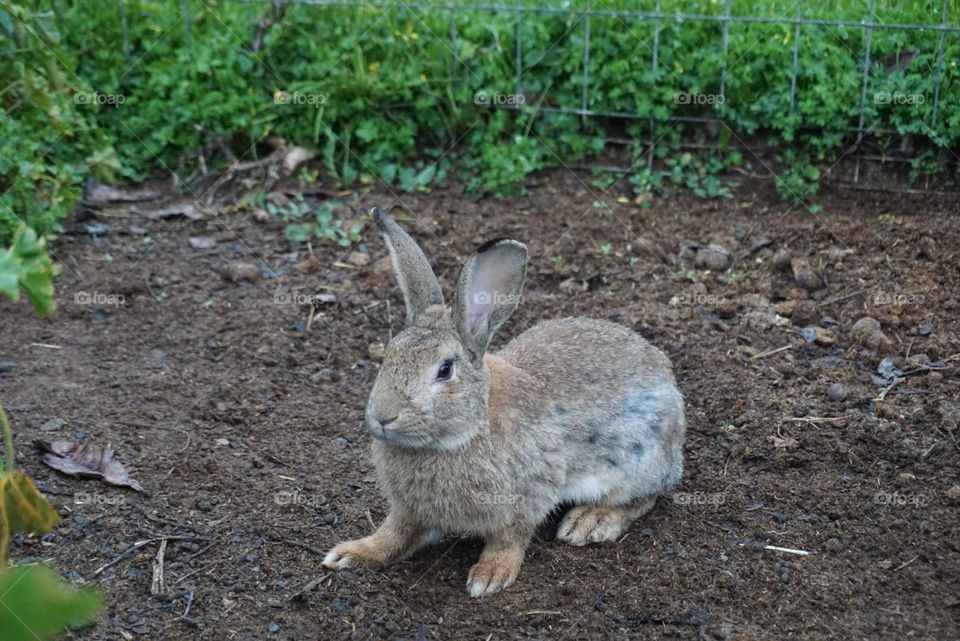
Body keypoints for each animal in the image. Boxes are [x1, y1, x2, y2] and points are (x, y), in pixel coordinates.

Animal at [326, 209, 688, 596]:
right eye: (388, 355)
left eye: (444, 370)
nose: (382, 416)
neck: (467, 429)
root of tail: (668, 380)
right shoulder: (410, 510)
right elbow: (394, 534)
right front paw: (352, 554)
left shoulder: (526, 497)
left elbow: (509, 538)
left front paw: (490, 575)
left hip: (635, 460)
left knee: (644, 497)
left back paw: (590, 521)